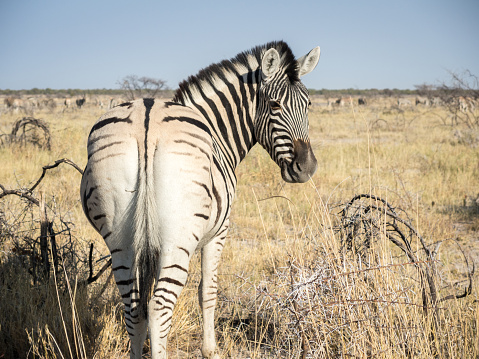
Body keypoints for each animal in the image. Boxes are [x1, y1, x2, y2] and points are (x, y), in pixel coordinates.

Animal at [80, 40, 320, 359]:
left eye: (307, 105)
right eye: (274, 105)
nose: (307, 168)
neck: (217, 131)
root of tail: (146, 122)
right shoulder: (219, 230)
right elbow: (208, 290)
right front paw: (210, 350)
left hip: (120, 238)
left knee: (133, 308)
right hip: (178, 236)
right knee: (159, 308)